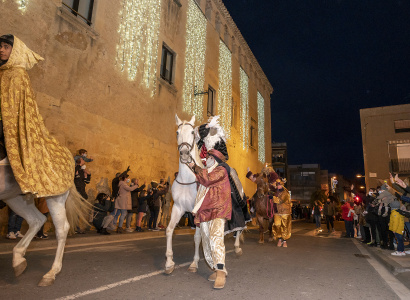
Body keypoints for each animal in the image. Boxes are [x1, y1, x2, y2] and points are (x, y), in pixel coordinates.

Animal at [1, 157, 88, 286]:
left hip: (54, 195)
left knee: (61, 228)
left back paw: (51, 273)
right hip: (13, 197)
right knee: (37, 219)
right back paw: (18, 259)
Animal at [163, 114, 242, 274]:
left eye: (192, 132)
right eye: (177, 132)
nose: (185, 154)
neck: (188, 179)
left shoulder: (199, 212)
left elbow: (197, 237)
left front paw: (194, 263)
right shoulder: (178, 208)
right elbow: (169, 230)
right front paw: (169, 262)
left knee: (240, 227)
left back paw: (237, 247)